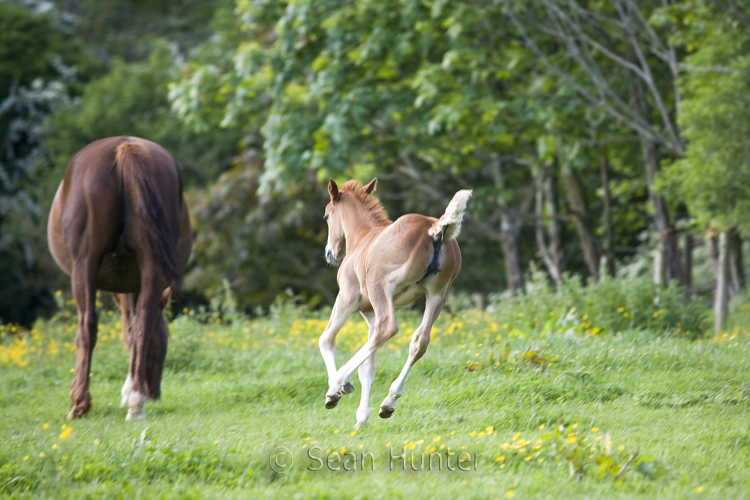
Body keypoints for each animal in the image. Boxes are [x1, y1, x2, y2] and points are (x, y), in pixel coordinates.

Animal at [320, 178, 472, 428]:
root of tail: (435, 229)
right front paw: (362, 417)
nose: (330, 253)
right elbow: (368, 366)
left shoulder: (348, 298)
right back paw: (388, 402)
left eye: (326, 216)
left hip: (382, 286)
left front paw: (337, 390)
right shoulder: (369, 313)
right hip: (437, 295)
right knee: (420, 340)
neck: (362, 237)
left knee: (389, 327)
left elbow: (326, 339)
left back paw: (340, 382)